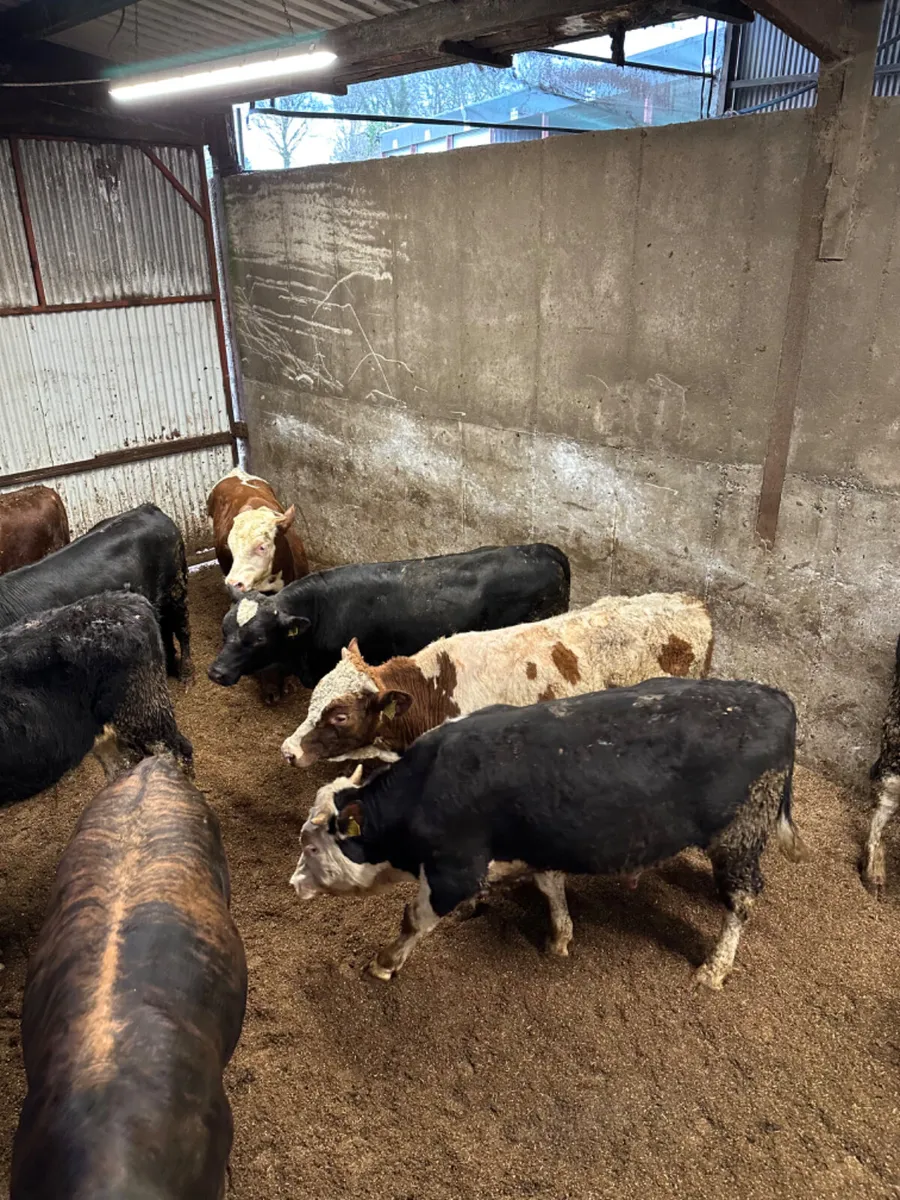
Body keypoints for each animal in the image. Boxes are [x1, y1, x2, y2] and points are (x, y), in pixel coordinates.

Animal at [291, 677, 807, 991]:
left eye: (311, 846)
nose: (294, 884)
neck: (428, 784)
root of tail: (775, 698)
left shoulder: (452, 871)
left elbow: (413, 919)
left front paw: (384, 962)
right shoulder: (536, 843)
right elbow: (550, 885)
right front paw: (559, 936)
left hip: (739, 838)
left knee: (743, 899)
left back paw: (715, 968)